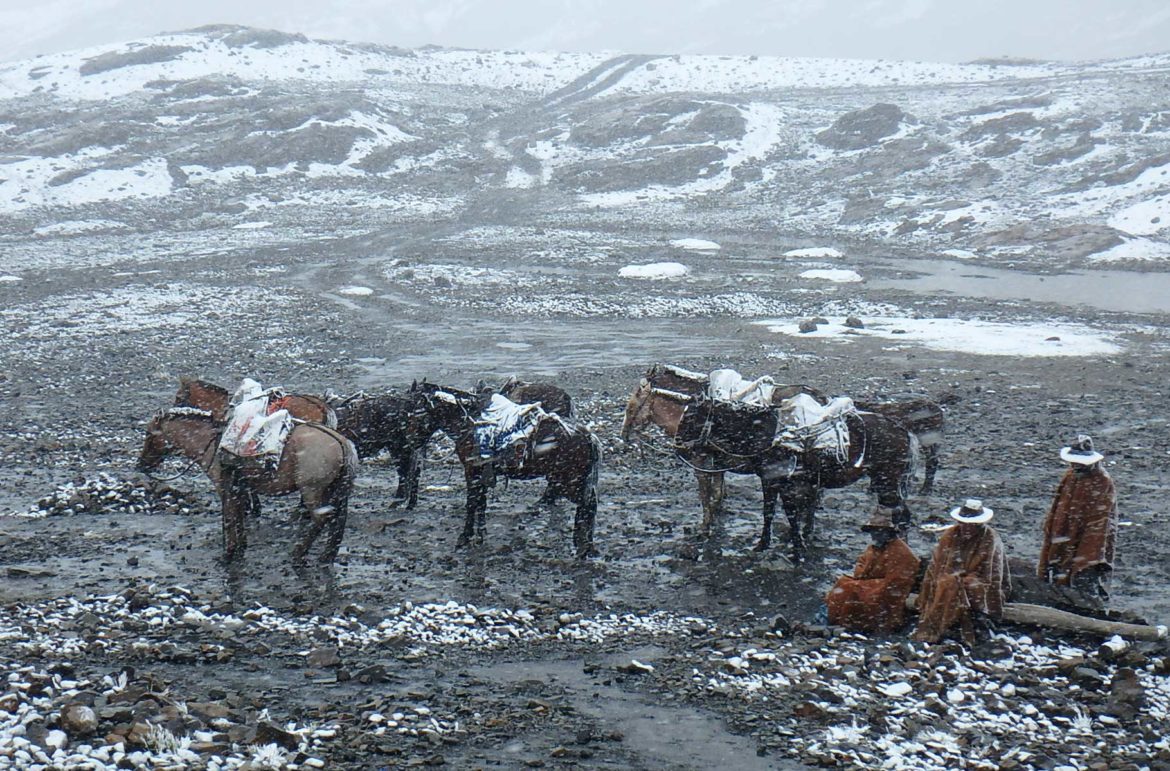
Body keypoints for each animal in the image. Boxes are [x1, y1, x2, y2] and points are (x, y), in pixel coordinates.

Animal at [136, 407, 355, 563]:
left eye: (149, 434)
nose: (141, 464)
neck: (212, 443)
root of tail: (342, 443)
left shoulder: (226, 490)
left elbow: (230, 519)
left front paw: (229, 553)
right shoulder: (239, 490)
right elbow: (239, 518)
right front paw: (240, 548)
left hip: (312, 490)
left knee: (321, 518)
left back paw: (299, 553)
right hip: (333, 491)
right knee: (337, 520)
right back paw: (326, 556)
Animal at [407, 383, 599, 556]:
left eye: (417, 413)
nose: (410, 442)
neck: (468, 422)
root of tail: (587, 435)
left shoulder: (471, 471)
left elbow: (472, 503)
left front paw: (465, 537)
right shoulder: (482, 473)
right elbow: (481, 503)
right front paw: (480, 535)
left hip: (570, 481)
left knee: (586, 505)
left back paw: (584, 546)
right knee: (588, 505)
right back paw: (584, 544)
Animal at [627, 383, 917, 563]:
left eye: (691, 417)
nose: (680, 447)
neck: (766, 433)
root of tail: (905, 431)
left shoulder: (775, 478)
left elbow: (782, 511)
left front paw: (796, 549)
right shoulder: (768, 479)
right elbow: (768, 510)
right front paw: (764, 544)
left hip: (887, 481)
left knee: (899, 514)